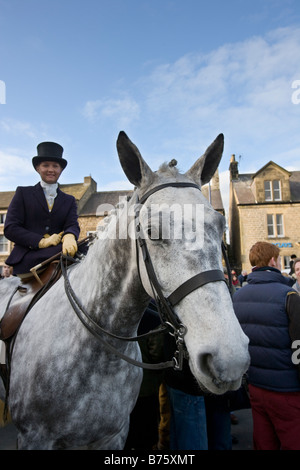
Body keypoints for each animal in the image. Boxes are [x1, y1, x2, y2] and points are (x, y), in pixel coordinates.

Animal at [0, 131, 248, 448]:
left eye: (220, 225)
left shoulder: (113, 435)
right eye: (152, 231)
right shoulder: (35, 437)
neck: (99, 349)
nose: (230, 358)